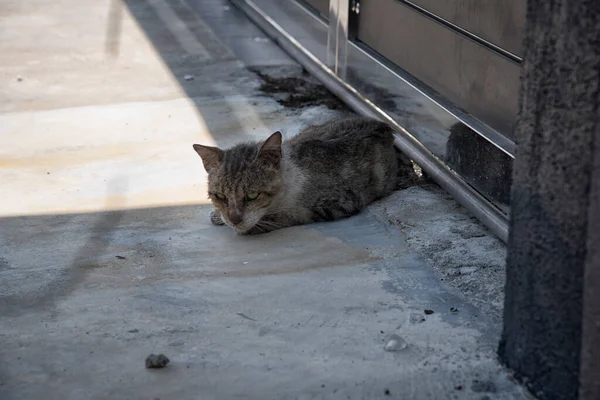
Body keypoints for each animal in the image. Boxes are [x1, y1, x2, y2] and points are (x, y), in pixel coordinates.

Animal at [192, 115, 408, 234]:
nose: (234, 219)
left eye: (252, 195)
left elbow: (290, 215)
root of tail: (382, 124)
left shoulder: (340, 202)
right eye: (220, 196)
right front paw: (219, 216)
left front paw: (256, 225)